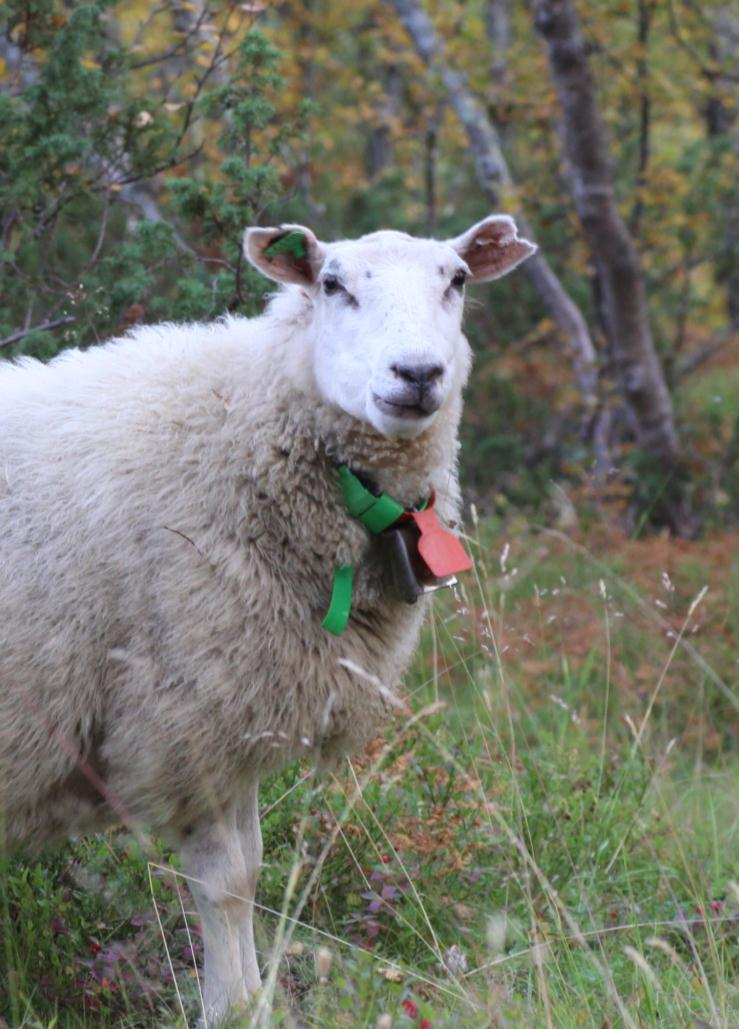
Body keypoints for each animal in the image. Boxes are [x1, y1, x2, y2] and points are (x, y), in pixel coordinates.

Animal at [0, 213, 535, 1024]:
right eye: (332, 284)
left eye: (458, 280)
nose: (416, 374)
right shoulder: (187, 711)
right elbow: (225, 882)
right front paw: (231, 1006)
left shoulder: (241, 707)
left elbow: (252, 869)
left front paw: (256, 997)